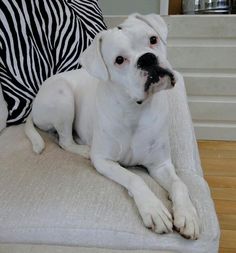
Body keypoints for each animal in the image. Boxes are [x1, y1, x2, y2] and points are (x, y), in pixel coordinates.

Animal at [25, 13, 199, 239]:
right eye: (119, 60)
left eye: (153, 39)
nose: (147, 58)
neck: (136, 110)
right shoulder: (105, 161)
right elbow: (135, 179)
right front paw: (153, 209)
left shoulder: (160, 164)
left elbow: (179, 184)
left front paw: (187, 214)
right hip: (63, 96)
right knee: (64, 141)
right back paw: (84, 150)